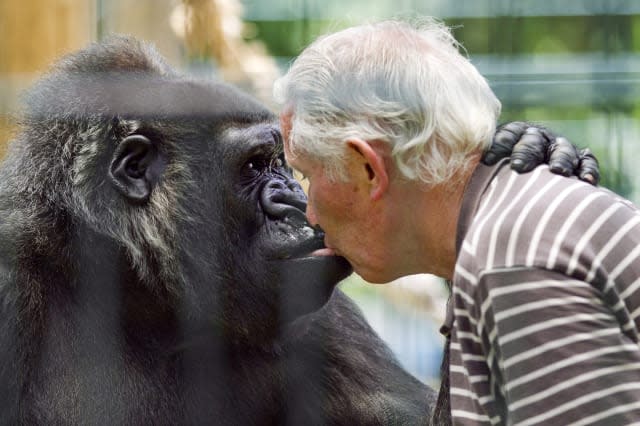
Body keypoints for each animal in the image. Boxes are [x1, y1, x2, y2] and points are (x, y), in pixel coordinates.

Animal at [0, 37, 596, 426]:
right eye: (254, 166)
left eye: (282, 164)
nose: (296, 201)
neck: (139, 298)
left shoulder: (321, 315)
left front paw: (538, 149)